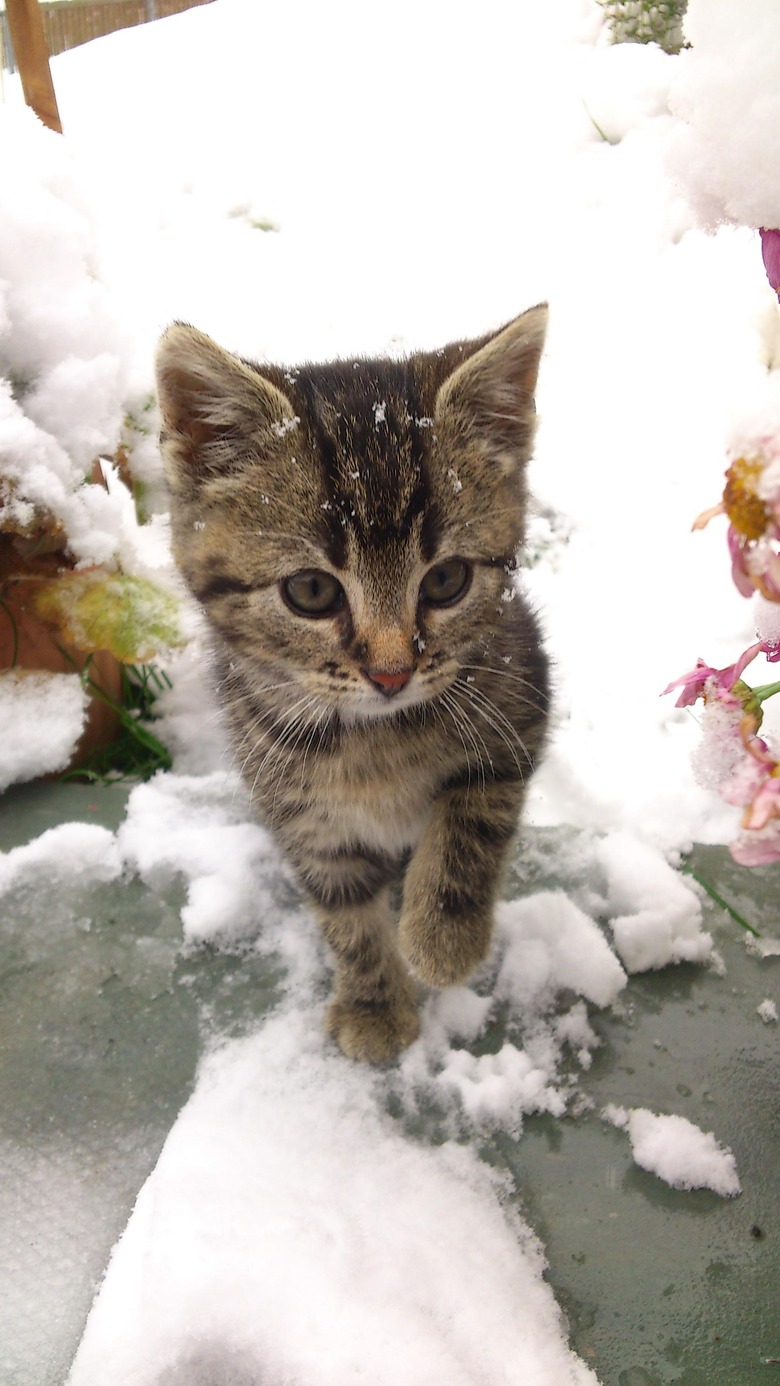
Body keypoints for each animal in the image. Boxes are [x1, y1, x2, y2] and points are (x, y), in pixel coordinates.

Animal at [155, 306, 548, 1058]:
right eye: (310, 591)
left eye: (447, 580)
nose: (391, 672)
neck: (375, 736)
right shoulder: (296, 808)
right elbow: (341, 909)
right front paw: (374, 1003)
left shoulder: (520, 698)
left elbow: (475, 813)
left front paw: (443, 939)